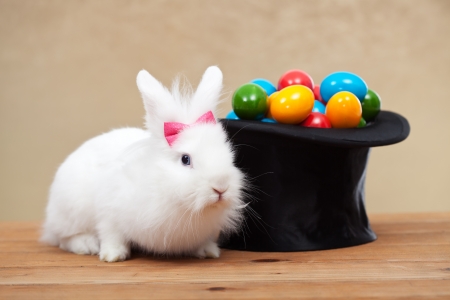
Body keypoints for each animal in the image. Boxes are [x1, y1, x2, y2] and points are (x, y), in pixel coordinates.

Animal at [41, 66, 246, 262]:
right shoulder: (110, 212)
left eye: (228, 153)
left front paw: (209, 251)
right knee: (63, 238)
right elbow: (111, 235)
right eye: (185, 159)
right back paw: (87, 245)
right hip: (70, 211)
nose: (221, 187)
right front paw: (113, 255)